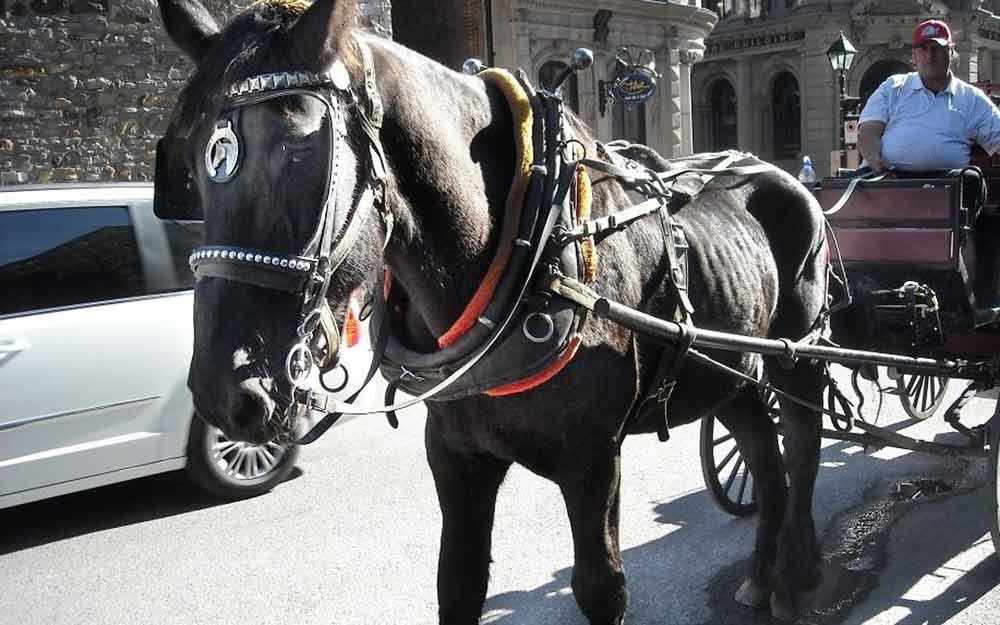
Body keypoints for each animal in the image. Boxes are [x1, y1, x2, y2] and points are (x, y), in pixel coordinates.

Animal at [154, 0, 829, 622]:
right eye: (189, 166)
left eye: (302, 152)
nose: (223, 393)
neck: (527, 243)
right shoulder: (456, 457)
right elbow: (458, 582)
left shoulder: (592, 461)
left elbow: (601, 588)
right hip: (731, 370)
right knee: (764, 456)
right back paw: (761, 576)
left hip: (796, 358)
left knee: (802, 448)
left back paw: (797, 576)